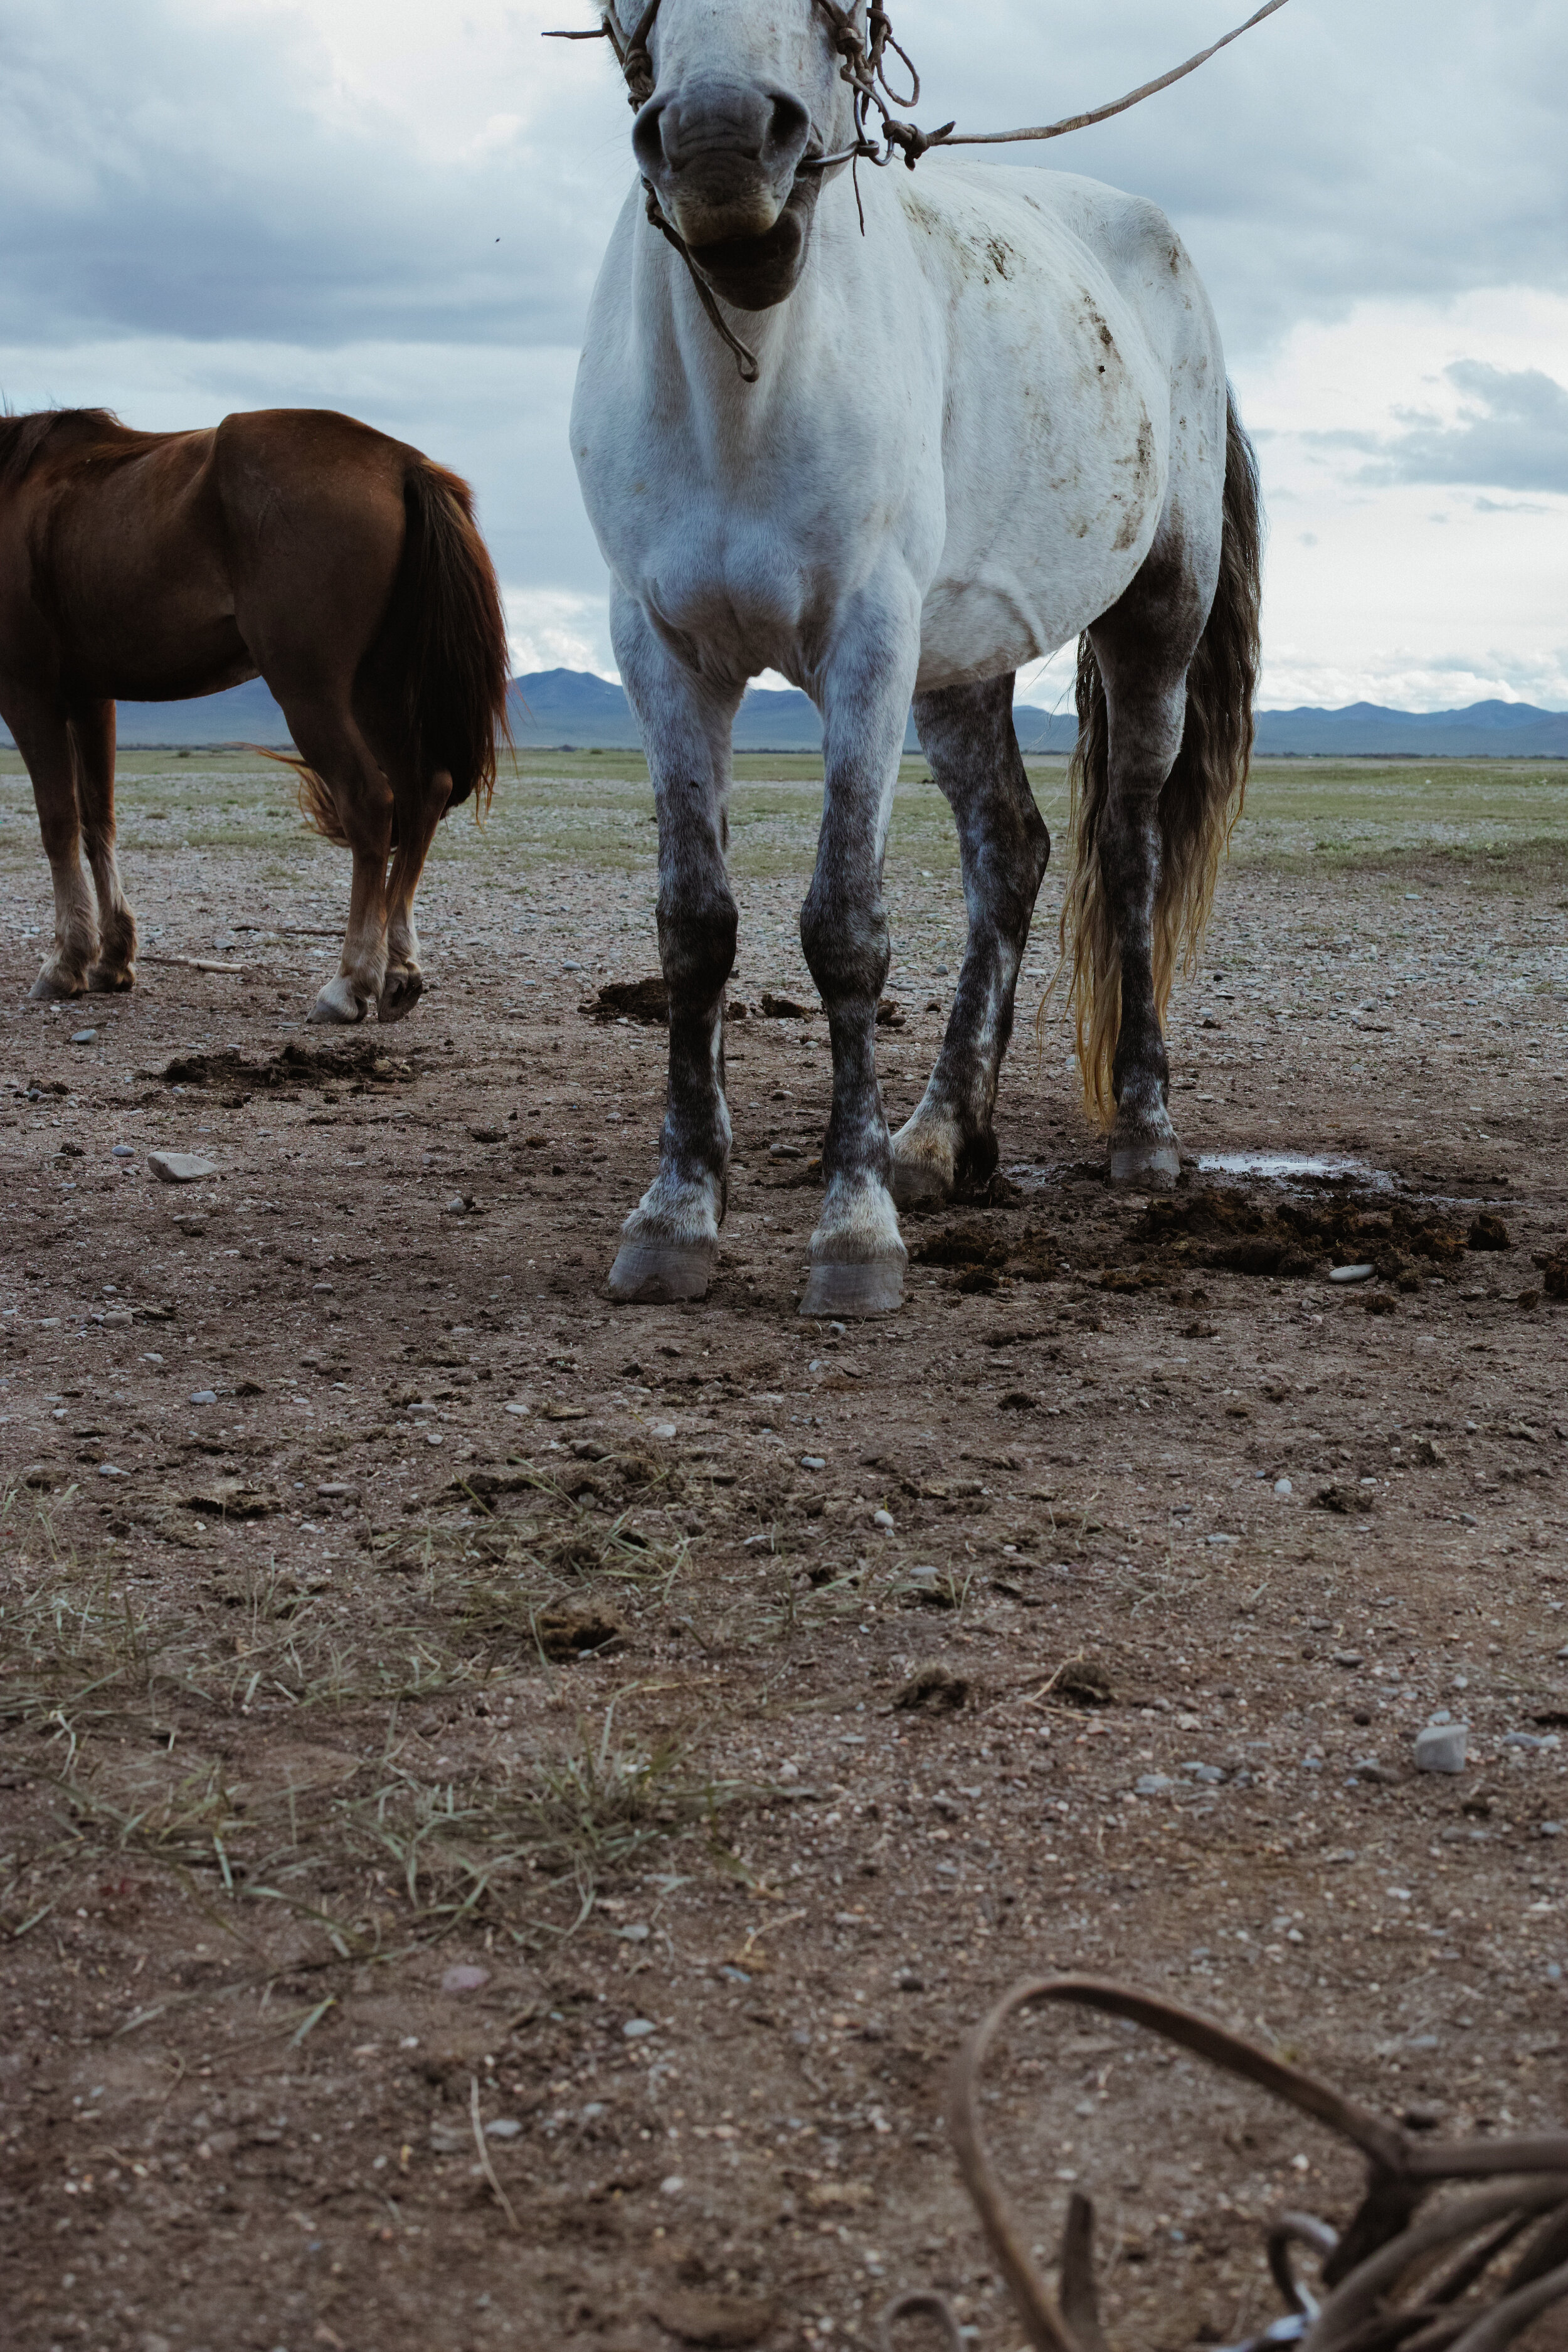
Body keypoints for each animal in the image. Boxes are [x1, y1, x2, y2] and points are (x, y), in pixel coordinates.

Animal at [0, 402, 510, 1020]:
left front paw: (66, 962)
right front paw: (113, 958)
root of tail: (399, 461)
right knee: (424, 793)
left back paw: (349, 982)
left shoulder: (27, 690)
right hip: (379, 692)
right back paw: (399, 969)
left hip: (311, 692)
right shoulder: (90, 696)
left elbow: (57, 822)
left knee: (371, 803)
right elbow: (98, 820)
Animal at [571, 0, 1269, 1317]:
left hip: (1153, 621)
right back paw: (945, 1136)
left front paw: (853, 1233)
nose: (721, 145)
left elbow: (846, 926)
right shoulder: (663, 652)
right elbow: (695, 925)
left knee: (1126, 847)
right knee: (1012, 850)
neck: (752, 379)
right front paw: (676, 1215)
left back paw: (1141, 1133)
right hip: (957, 667)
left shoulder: (867, 645)